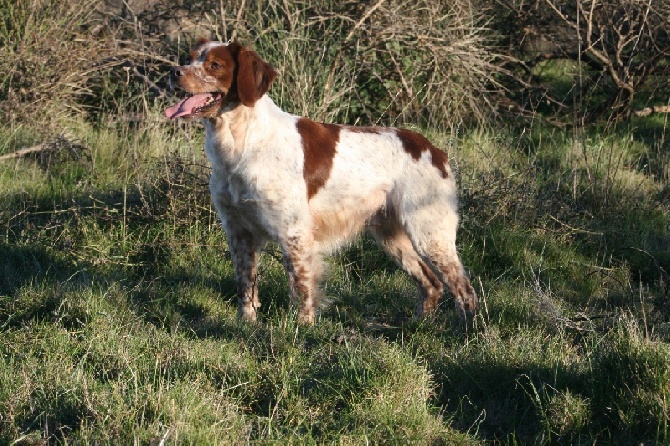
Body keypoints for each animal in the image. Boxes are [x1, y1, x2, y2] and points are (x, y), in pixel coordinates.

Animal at [167, 39, 478, 324]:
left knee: (464, 290)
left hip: (429, 232)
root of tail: (433, 150)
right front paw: (247, 325)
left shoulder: (293, 231)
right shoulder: (238, 230)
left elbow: (301, 286)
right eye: (189, 58)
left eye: (215, 65)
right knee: (432, 284)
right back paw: (418, 325)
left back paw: (465, 332)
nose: (174, 72)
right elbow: (246, 286)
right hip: (392, 236)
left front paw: (301, 329)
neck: (240, 145)